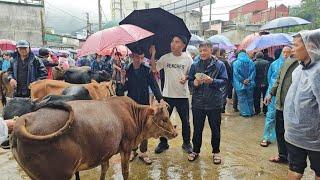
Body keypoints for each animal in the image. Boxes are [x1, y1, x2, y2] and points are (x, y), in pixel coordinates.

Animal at [11, 97, 178, 180]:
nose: (175, 133)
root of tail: (24, 119)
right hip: (59, 175)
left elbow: (104, 169)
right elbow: (125, 172)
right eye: (164, 119)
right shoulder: (125, 147)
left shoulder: (105, 151)